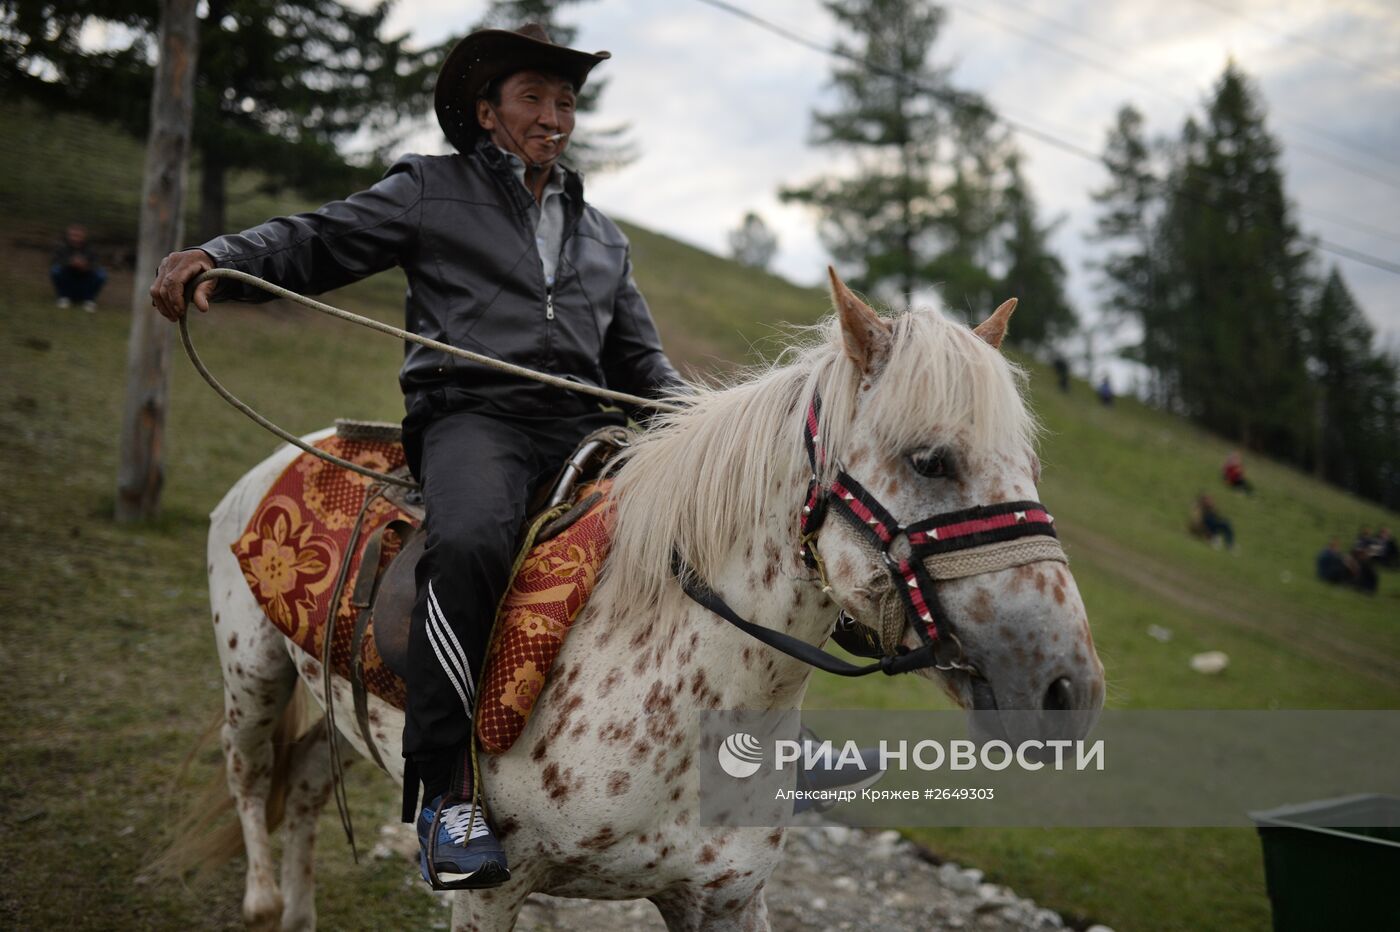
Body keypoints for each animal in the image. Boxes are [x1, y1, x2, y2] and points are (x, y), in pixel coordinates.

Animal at [183, 268, 1103, 929]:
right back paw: (265, 901)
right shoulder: (491, 895)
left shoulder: (725, 902)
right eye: (930, 460)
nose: (1070, 692)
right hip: (254, 678)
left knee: (305, 787)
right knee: (249, 772)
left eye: (1028, 466)